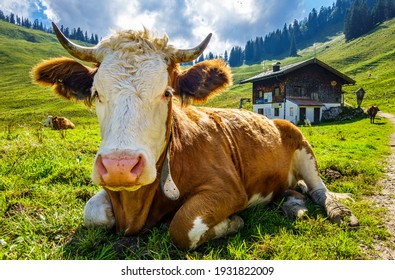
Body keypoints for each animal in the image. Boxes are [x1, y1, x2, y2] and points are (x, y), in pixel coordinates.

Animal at [31, 23, 358, 249]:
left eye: (167, 93)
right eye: (96, 93)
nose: (120, 167)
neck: (136, 207)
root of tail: (277, 120)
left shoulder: (228, 189)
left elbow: (183, 226)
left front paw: (232, 222)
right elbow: (92, 213)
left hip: (304, 149)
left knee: (319, 189)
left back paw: (339, 211)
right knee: (295, 191)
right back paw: (294, 206)